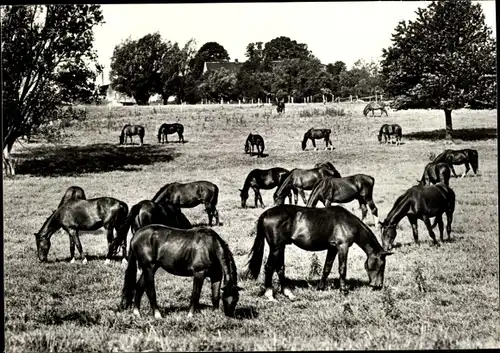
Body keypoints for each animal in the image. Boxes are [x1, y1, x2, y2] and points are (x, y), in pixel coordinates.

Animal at [244, 204, 392, 296]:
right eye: (382, 265)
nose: (378, 286)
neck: (348, 222)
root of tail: (265, 214)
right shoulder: (342, 247)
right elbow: (342, 269)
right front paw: (343, 291)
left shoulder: (332, 248)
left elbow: (327, 268)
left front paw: (320, 287)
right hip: (276, 247)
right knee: (269, 267)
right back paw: (270, 294)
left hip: (281, 247)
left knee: (279, 267)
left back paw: (287, 292)